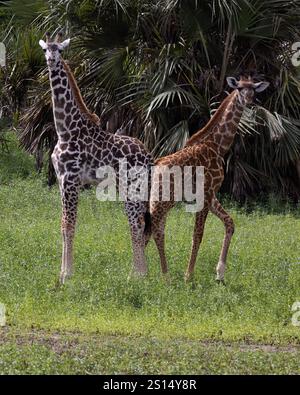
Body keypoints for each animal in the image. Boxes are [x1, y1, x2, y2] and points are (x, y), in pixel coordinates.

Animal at [39, 32, 152, 284]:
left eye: (60, 49)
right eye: (45, 49)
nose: (51, 60)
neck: (65, 130)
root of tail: (149, 156)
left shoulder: (71, 180)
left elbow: (69, 225)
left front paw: (66, 275)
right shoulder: (61, 180)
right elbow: (62, 225)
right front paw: (60, 273)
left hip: (133, 188)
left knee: (137, 223)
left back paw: (139, 276)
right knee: (139, 224)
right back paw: (137, 273)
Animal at [148, 76, 270, 284]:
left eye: (253, 89)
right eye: (239, 88)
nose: (249, 101)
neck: (218, 146)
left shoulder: (212, 194)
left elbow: (230, 223)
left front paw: (219, 273)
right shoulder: (204, 193)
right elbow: (198, 234)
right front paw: (188, 276)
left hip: (158, 200)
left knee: (153, 229)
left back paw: (143, 274)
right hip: (164, 200)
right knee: (154, 229)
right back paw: (163, 276)